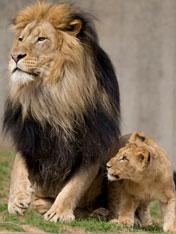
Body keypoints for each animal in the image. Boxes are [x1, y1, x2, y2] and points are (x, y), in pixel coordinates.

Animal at [3, 1, 121, 221]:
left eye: (41, 39)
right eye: (21, 39)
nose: (14, 56)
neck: (54, 93)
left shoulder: (92, 142)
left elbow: (75, 185)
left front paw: (59, 212)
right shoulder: (30, 134)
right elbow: (18, 166)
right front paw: (17, 199)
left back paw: (99, 213)